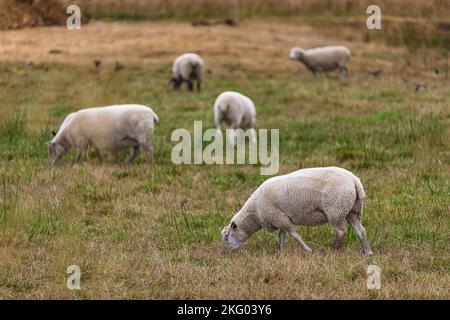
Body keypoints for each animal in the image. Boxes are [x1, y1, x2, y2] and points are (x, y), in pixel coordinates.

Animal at [221, 166, 372, 256]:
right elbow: (282, 236)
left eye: (227, 236)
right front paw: (281, 252)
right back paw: (367, 252)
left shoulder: (277, 216)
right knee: (361, 230)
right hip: (351, 211)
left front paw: (308, 250)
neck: (255, 213)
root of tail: (354, 181)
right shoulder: (280, 217)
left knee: (341, 231)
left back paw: (333, 250)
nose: (225, 253)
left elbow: (294, 234)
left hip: (335, 209)